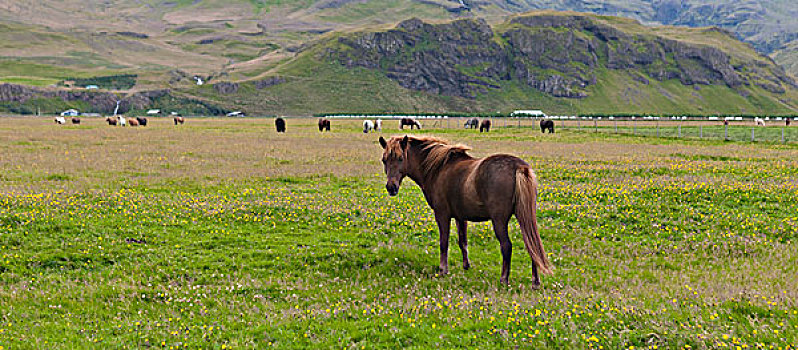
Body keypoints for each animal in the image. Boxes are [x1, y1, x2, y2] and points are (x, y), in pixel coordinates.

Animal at [380, 135, 552, 286]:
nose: (391, 187)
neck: (438, 168)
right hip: (525, 216)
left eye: (400, 158)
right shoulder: (460, 217)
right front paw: (466, 266)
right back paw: (535, 282)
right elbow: (462, 241)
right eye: (384, 160)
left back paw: (504, 279)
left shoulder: (442, 215)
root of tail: (519, 167)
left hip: (499, 221)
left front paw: (443, 270)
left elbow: (444, 242)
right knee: (531, 244)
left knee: (507, 246)